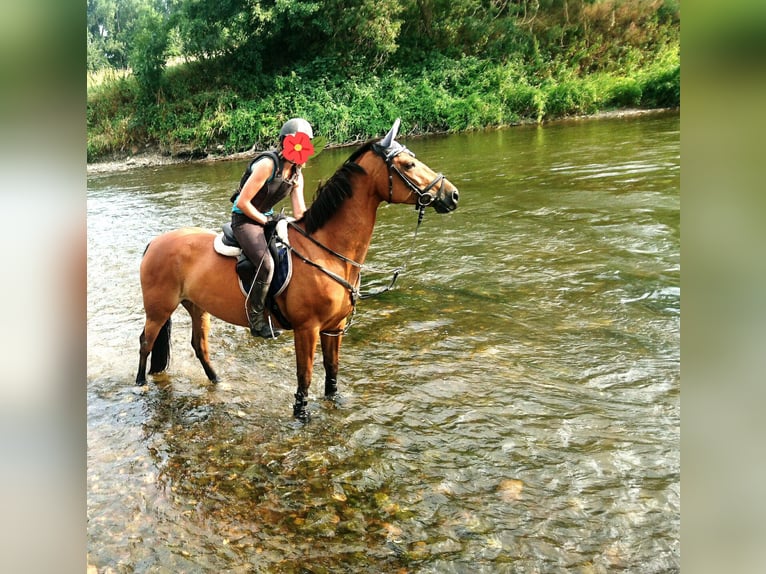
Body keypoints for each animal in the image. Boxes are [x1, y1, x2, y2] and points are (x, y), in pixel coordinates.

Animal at [136, 119, 462, 420]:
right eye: (408, 164)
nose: (452, 195)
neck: (328, 252)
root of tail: (154, 242)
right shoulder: (308, 328)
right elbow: (305, 374)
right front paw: (301, 413)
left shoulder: (334, 328)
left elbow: (332, 370)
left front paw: (334, 401)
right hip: (159, 307)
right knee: (146, 342)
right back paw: (140, 385)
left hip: (196, 306)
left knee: (199, 345)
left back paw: (218, 382)